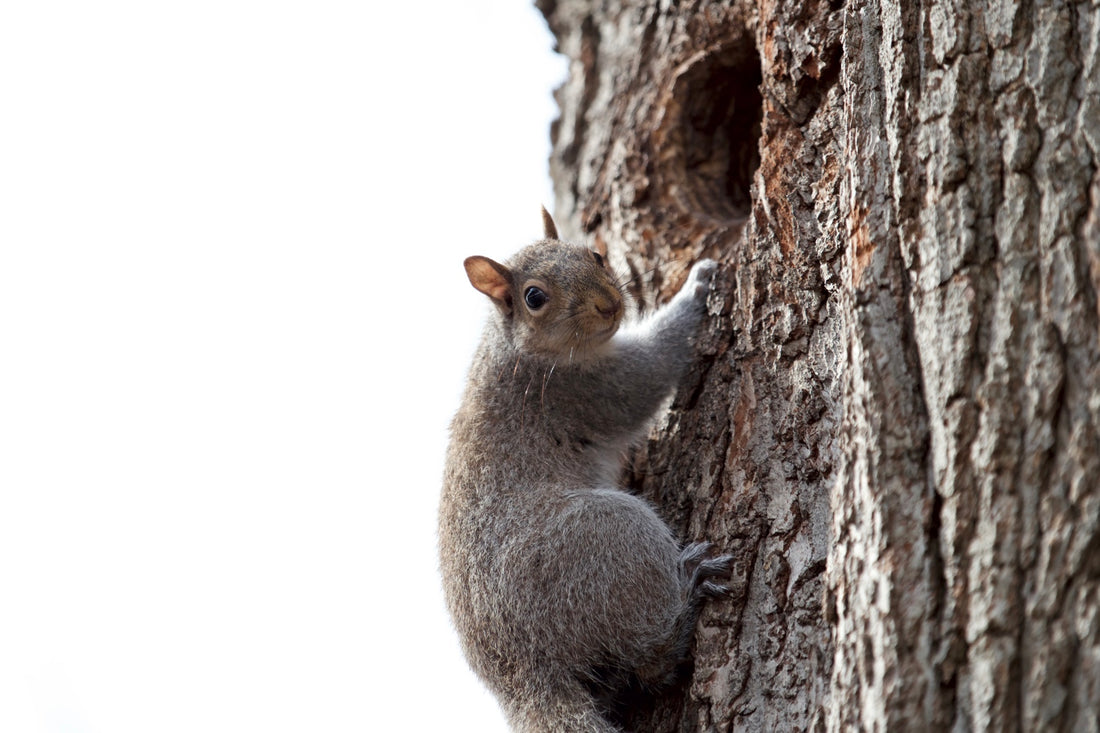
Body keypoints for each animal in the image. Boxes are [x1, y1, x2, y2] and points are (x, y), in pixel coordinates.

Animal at [435, 208, 730, 726]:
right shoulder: (582, 389)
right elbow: (648, 373)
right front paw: (696, 288)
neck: (514, 348)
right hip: (606, 538)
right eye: (534, 298)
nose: (609, 304)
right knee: (651, 659)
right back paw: (687, 594)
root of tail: (524, 670)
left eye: (594, 254)